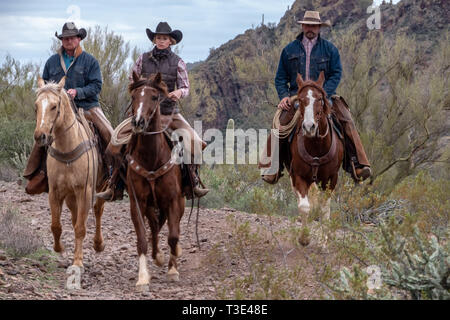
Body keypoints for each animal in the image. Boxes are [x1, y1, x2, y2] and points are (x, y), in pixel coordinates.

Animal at [33, 77, 107, 268]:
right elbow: (56, 225)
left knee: (98, 211)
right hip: (71, 196)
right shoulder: (55, 192)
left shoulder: (85, 192)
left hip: (100, 188)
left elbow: (81, 227)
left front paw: (78, 261)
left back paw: (99, 244)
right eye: (36, 106)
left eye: (54, 106)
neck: (67, 149)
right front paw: (59, 248)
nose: (40, 136)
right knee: (75, 218)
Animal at [125, 72, 185, 290]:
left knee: (170, 230)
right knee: (154, 228)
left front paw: (173, 268)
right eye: (134, 97)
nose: (138, 122)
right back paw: (157, 255)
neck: (152, 158)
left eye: (153, 97)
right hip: (152, 206)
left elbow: (173, 236)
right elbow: (142, 239)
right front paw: (143, 278)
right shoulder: (137, 202)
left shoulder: (173, 200)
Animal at [290, 72, 342, 246]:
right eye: (300, 100)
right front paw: (304, 238)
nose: (309, 127)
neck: (316, 146)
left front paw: (325, 241)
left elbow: (324, 207)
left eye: (319, 98)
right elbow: (304, 206)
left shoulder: (331, 178)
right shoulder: (298, 176)